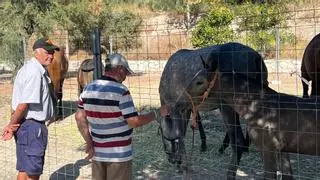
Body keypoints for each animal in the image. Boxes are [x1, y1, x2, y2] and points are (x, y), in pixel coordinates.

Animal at [159, 42, 268, 179]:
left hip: (228, 105)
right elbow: (189, 127)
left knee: (238, 141)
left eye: (163, 136)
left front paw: (183, 164)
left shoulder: (176, 108)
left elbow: (180, 133)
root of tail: (256, 57)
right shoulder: (188, 108)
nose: (171, 159)